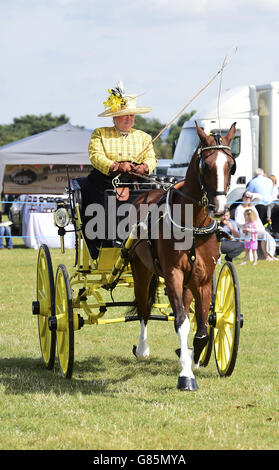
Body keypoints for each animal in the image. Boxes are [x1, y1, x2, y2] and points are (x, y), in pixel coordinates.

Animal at [130, 121, 237, 390]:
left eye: (231, 165)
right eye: (205, 165)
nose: (219, 209)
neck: (194, 224)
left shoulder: (204, 279)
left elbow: (202, 330)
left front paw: (193, 358)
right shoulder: (173, 275)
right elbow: (181, 321)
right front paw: (186, 375)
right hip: (141, 269)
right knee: (144, 307)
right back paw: (143, 349)